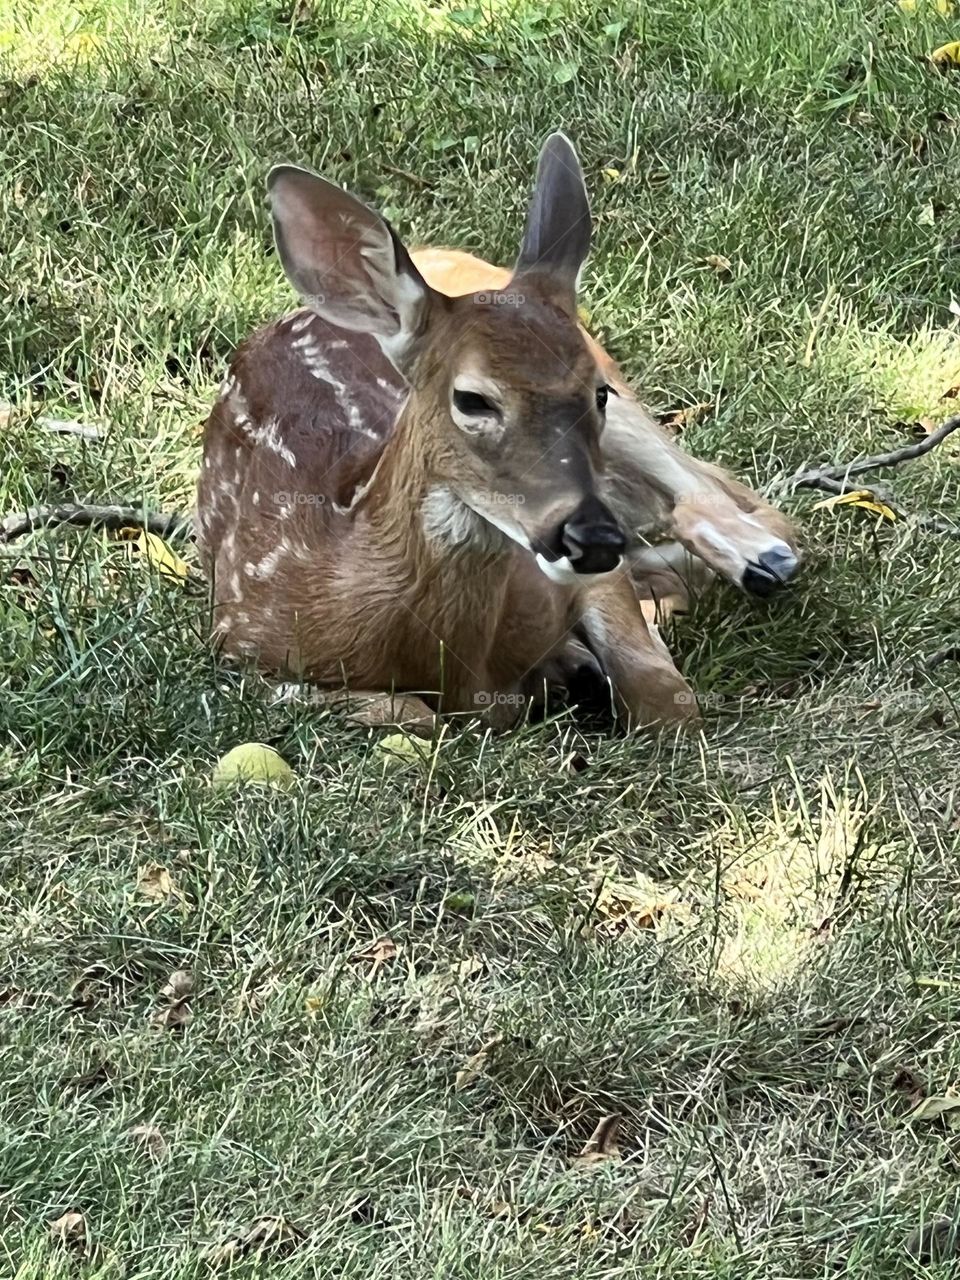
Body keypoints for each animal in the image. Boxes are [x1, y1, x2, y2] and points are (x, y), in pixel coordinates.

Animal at [193, 135, 798, 737]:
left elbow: (671, 704)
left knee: (730, 500)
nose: (593, 537)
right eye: (472, 399)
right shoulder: (236, 639)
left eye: (596, 394)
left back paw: (759, 561)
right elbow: (410, 713)